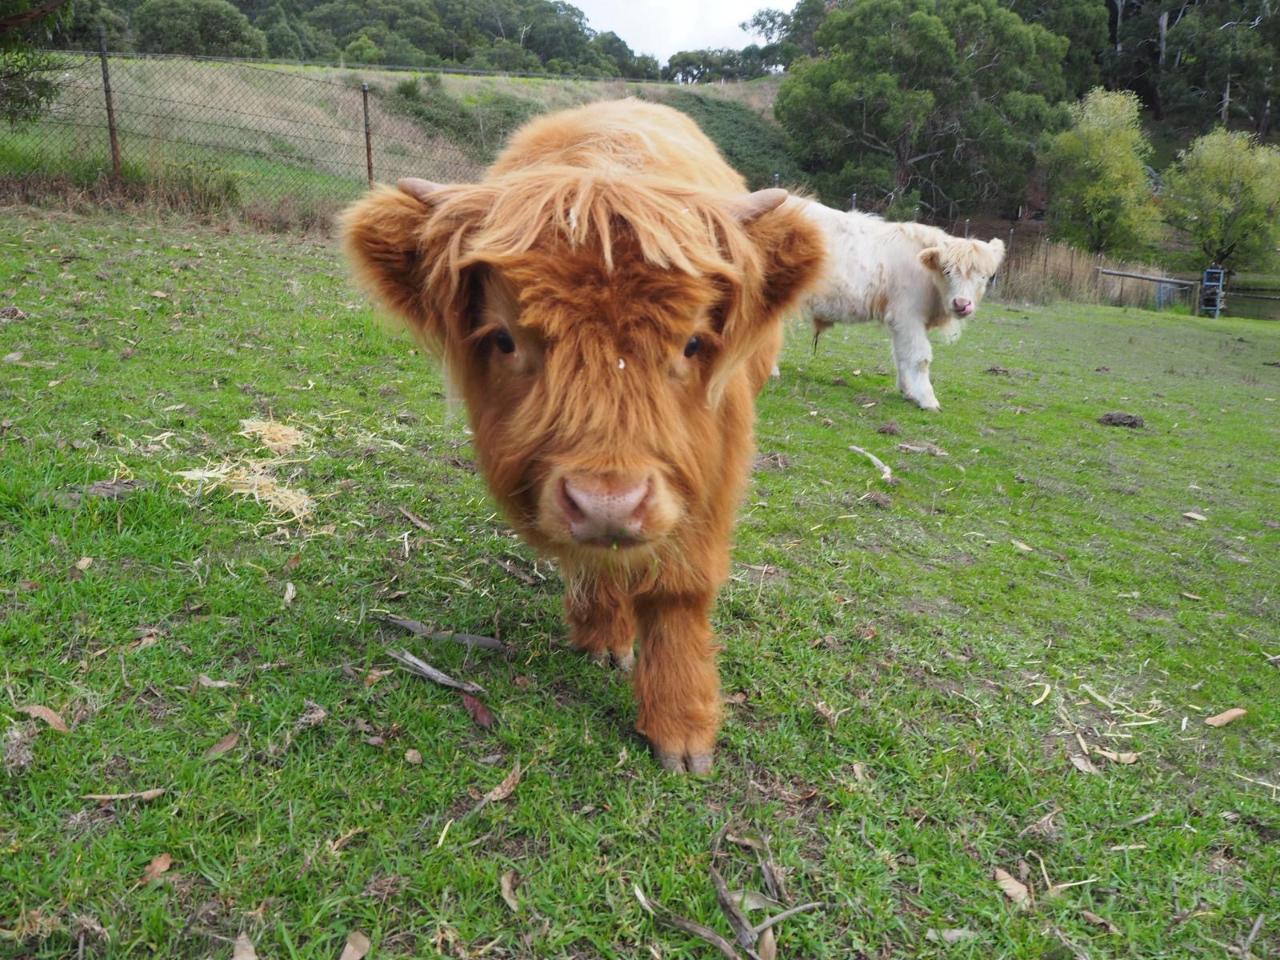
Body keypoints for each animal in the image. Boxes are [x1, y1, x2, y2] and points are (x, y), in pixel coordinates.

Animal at [342, 100, 825, 774]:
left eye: (692, 342)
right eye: (504, 338)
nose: (608, 504)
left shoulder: (712, 469)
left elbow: (679, 593)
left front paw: (681, 728)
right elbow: (596, 562)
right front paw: (602, 633)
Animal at [788, 199, 1005, 410]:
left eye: (984, 276)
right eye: (947, 270)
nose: (962, 304)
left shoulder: (901, 322)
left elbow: (901, 354)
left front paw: (908, 391)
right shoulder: (908, 316)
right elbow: (919, 357)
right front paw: (928, 400)